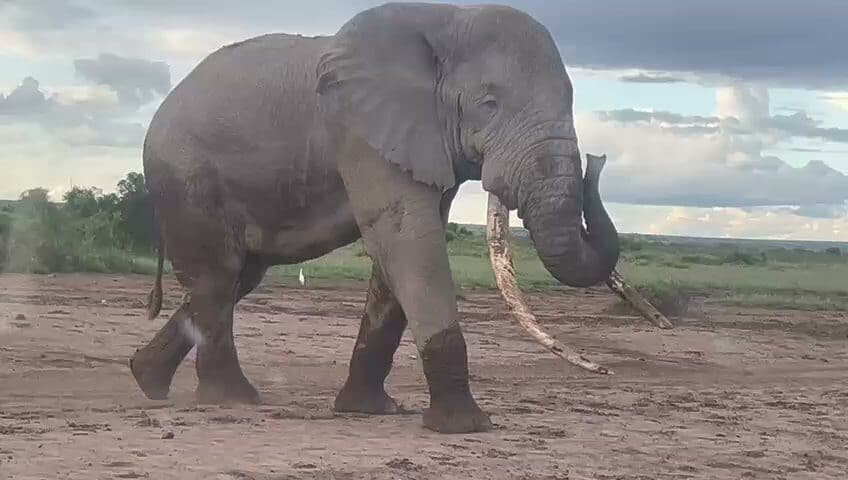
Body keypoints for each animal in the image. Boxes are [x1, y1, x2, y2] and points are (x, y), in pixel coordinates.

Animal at [129, 2, 620, 434]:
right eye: (489, 104)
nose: (598, 160)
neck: (449, 19)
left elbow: (399, 251)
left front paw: (367, 410)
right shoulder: (362, 133)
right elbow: (408, 239)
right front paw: (465, 427)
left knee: (239, 277)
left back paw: (146, 379)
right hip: (187, 175)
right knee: (219, 276)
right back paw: (233, 399)